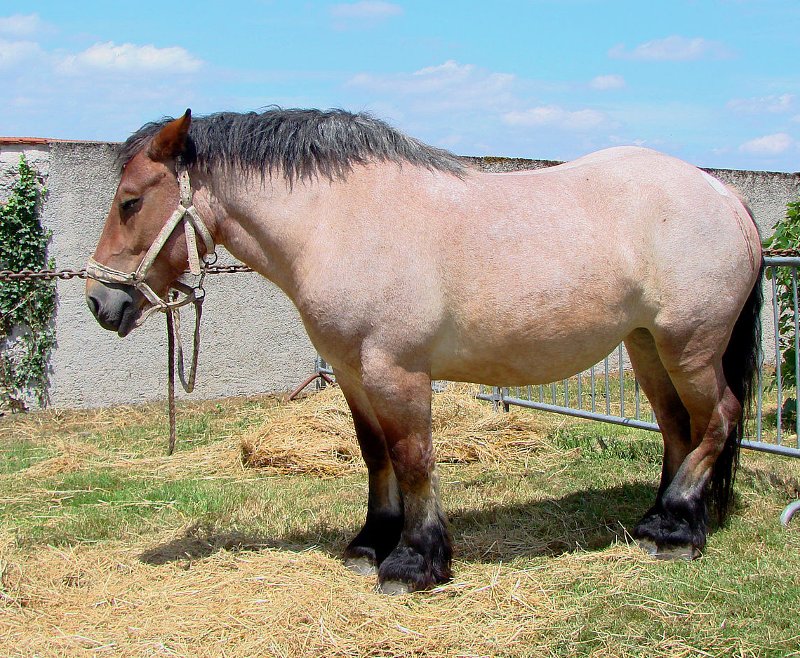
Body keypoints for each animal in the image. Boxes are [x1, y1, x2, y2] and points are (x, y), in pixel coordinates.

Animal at [86, 108, 763, 594]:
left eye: (130, 201)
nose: (100, 302)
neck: (343, 223)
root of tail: (723, 195)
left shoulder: (397, 372)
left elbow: (413, 459)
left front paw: (414, 562)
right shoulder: (353, 373)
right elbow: (376, 455)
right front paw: (370, 543)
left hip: (690, 347)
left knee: (718, 419)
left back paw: (677, 530)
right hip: (647, 347)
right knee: (678, 427)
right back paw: (660, 521)